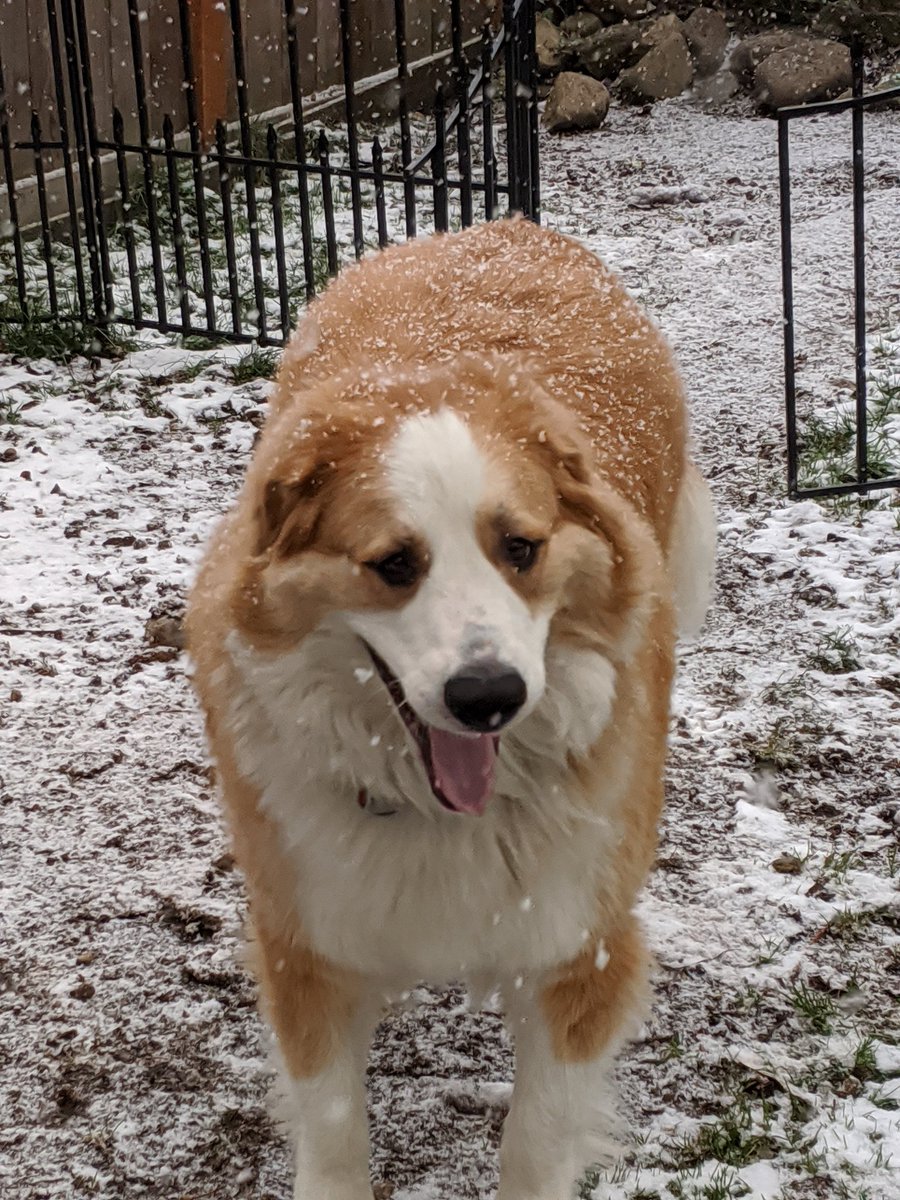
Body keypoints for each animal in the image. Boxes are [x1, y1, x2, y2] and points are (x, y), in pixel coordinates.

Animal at [188, 218, 720, 1200]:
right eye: (395, 564)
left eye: (522, 549)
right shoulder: (307, 942)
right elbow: (334, 1134)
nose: (489, 698)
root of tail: (498, 226)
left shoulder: (582, 950)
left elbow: (535, 1143)